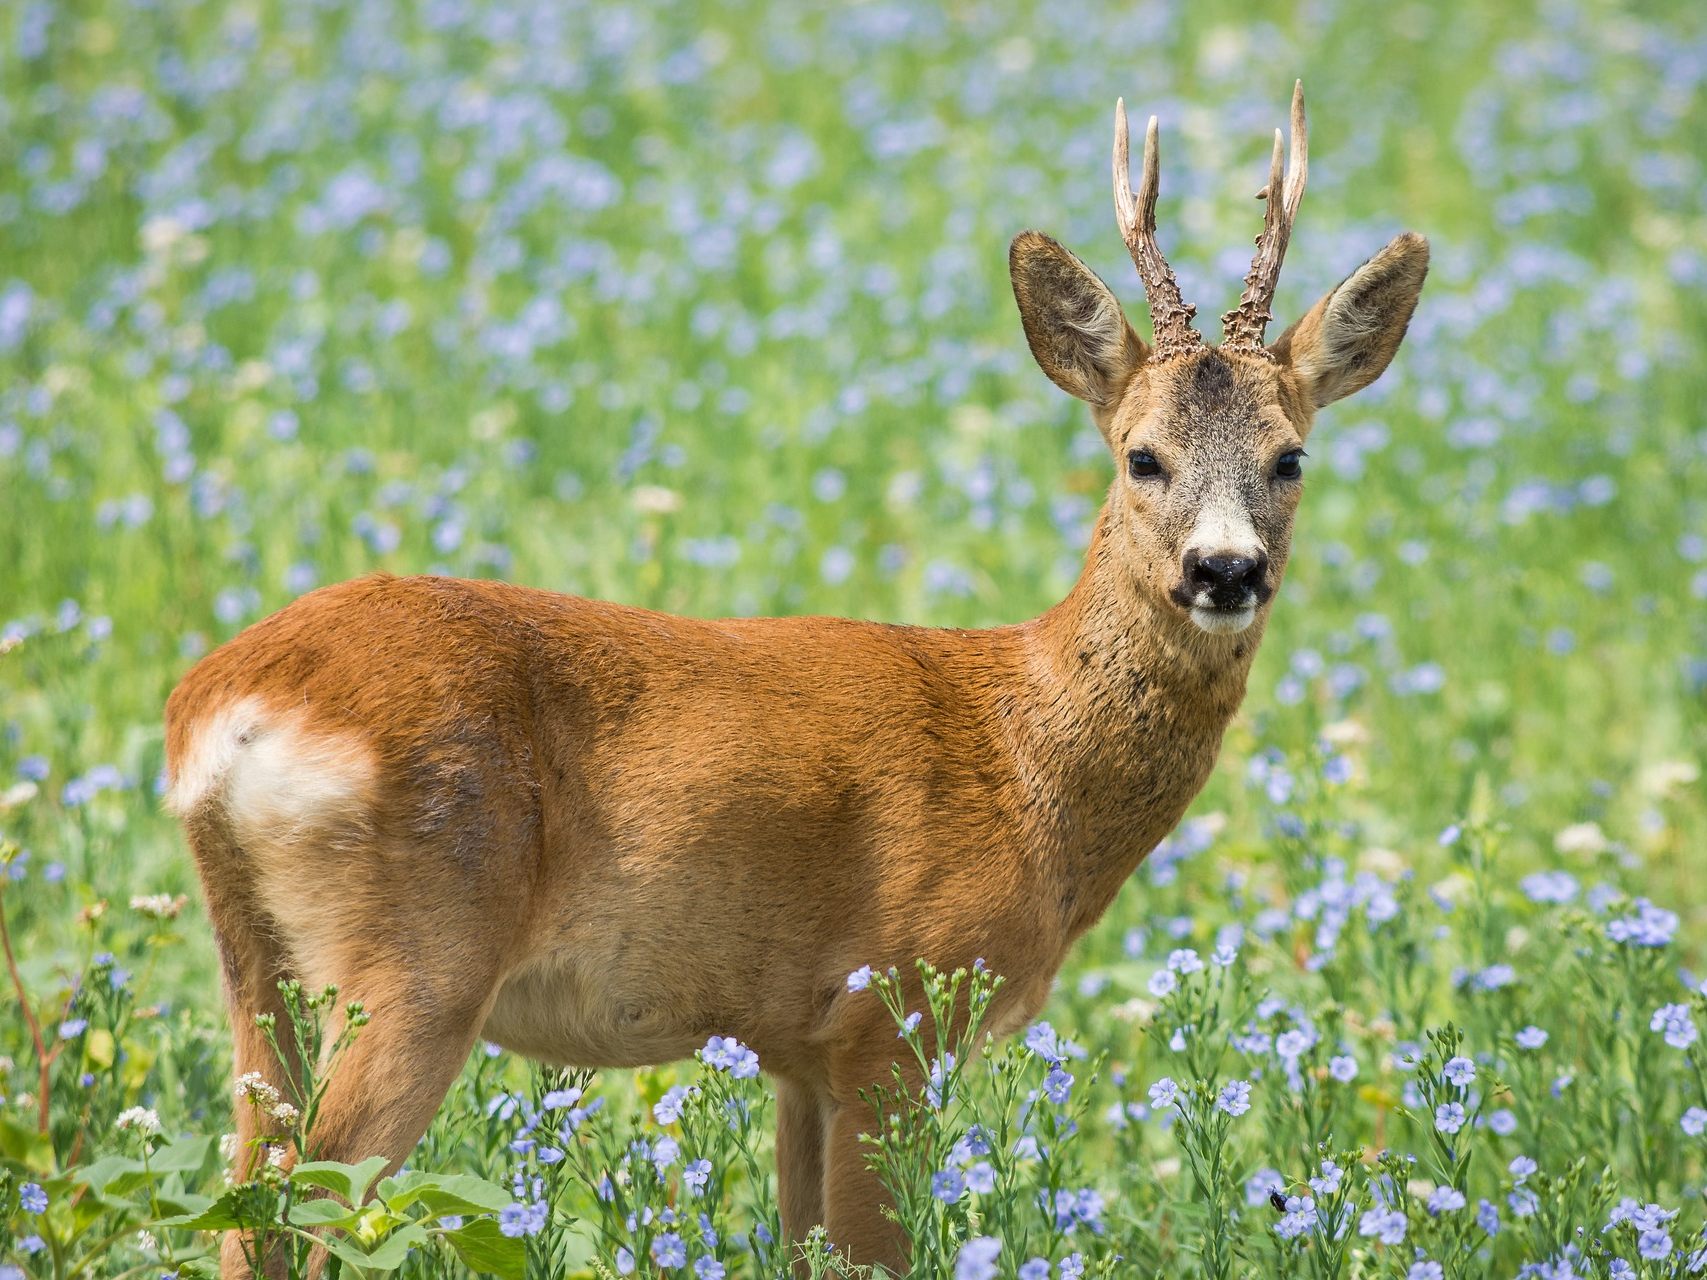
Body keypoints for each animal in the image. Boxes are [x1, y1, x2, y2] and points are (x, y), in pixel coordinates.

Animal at [169, 85, 1427, 1276]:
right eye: (1142, 455)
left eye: (1290, 456)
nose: (1226, 569)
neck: (1028, 759)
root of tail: (224, 709)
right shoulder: (894, 1012)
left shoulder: (796, 1052)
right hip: (417, 956)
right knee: (300, 1206)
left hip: (260, 963)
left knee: (246, 1195)